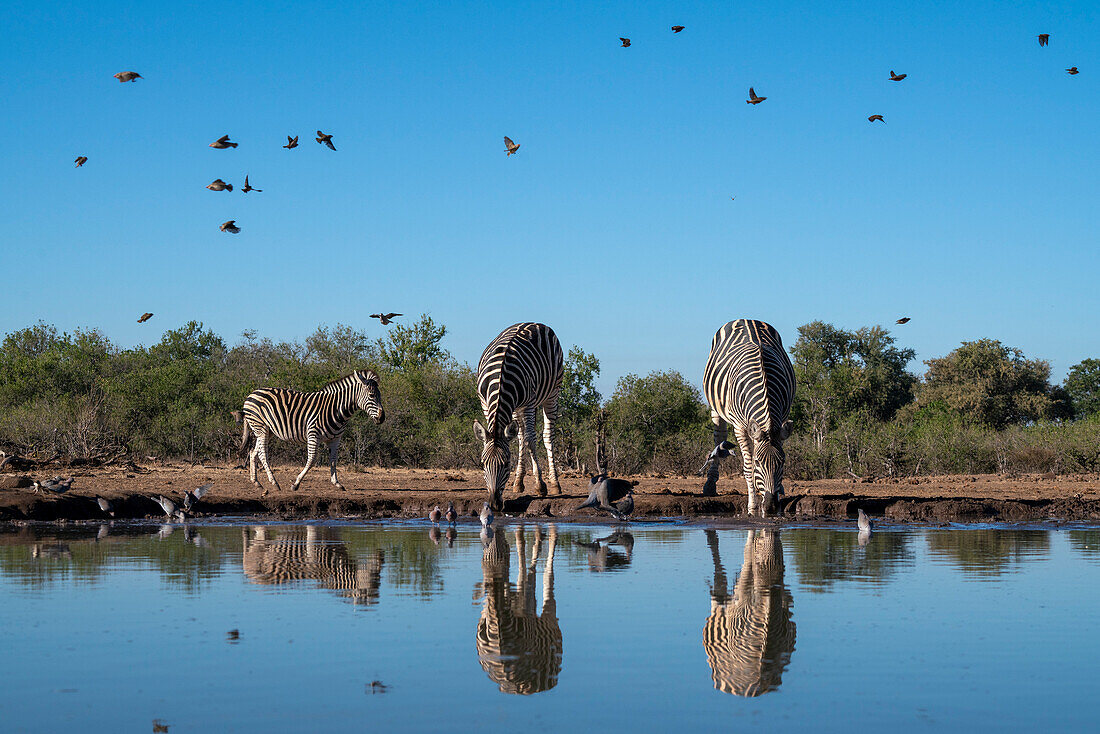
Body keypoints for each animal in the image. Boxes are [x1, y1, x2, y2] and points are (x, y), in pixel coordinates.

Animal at [235, 369, 382, 497]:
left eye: (380, 396)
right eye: (371, 395)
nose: (382, 417)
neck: (336, 410)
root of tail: (252, 393)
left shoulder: (335, 439)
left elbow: (333, 460)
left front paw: (337, 483)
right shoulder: (313, 434)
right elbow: (312, 460)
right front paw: (296, 484)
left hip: (266, 430)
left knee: (253, 452)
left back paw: (256, 482)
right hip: (261, 428)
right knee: (262, 453)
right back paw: (274, 483)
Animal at [473, 321, 563, 510]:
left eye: (507, 463)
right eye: (483, 464)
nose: (494, 505)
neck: (499, 378)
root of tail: (534, 322)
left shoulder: (528, 403)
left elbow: (531, 440)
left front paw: (540, 486)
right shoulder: (485, 403)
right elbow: (520, 438)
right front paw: (520, 482)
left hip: (552, 393)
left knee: (545, 436)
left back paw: (554, 484)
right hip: (517, 407)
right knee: (520, 436)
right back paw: (518, 482)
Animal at [699, 321, 796, 517]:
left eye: (782, 462)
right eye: (759, 462)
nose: (771, 507)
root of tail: (746, 319)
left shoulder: (781, 421)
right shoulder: (739, 427)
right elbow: (748, 467)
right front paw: (752, 506)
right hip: (716, 408)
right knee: (719, 438)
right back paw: (710, 485)